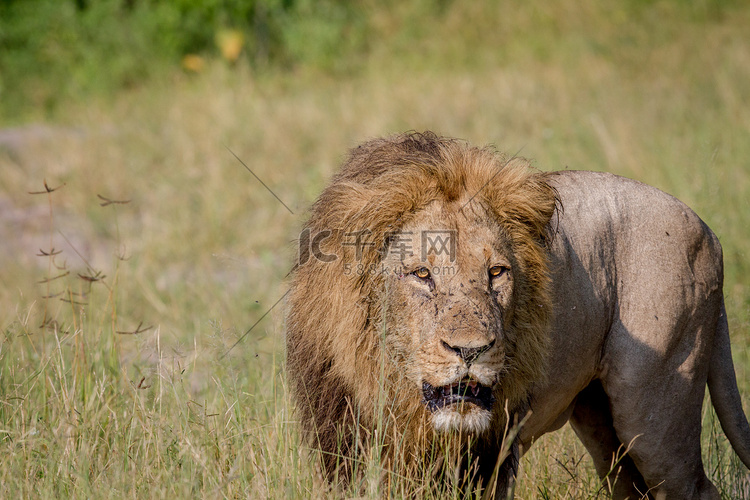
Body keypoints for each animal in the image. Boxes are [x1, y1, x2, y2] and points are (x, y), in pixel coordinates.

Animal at [284, 131, 748, 498]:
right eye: (421, 274)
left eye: (496, 272)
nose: (471, 351)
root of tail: (709, 231)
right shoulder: (344, 444)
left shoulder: (490, 454)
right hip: (603, 427)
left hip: (653, 413)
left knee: (695, 487)